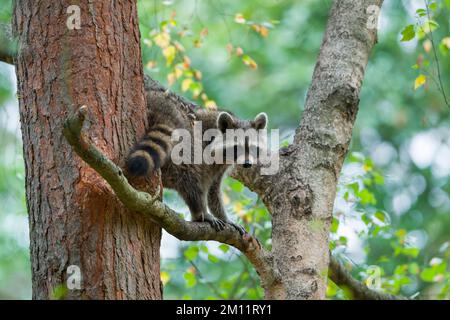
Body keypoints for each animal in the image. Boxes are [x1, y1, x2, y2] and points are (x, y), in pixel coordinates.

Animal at [125, 84, 268, 234]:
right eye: (236, 147)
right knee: (189, 174)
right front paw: (212, 212)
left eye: (253, 147)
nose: (247, 164)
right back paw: (199, 212)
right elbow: (205, 185)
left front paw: (223, 216)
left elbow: (213, 189)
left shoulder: (220, 166)